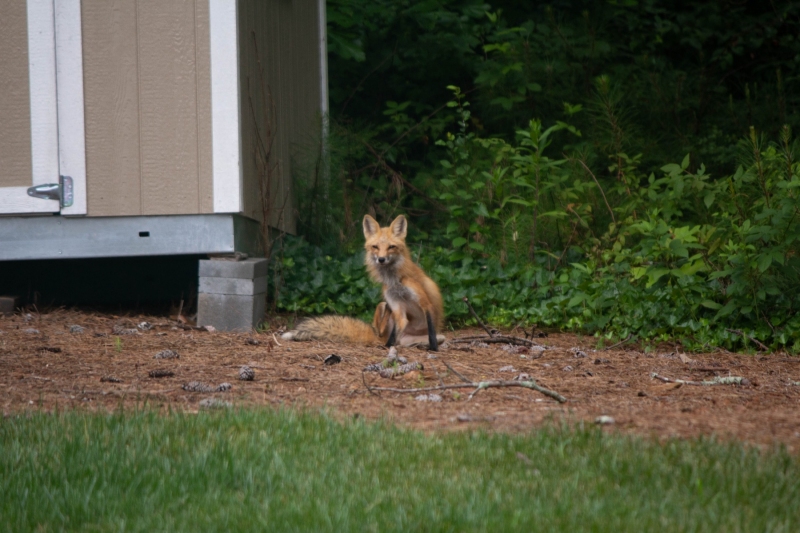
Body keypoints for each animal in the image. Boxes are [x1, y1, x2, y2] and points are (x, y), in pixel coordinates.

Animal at [281, 214, 445, 350]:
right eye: (375, 247)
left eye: (391, 247)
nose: (381, 259)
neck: (395, 282)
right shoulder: (397, 307)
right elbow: (394, 333)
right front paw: (387, 348)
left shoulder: (425, 303)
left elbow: (431, 331)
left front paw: (433, 348)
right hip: (383, 306)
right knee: (388, 336)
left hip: (437, 334)